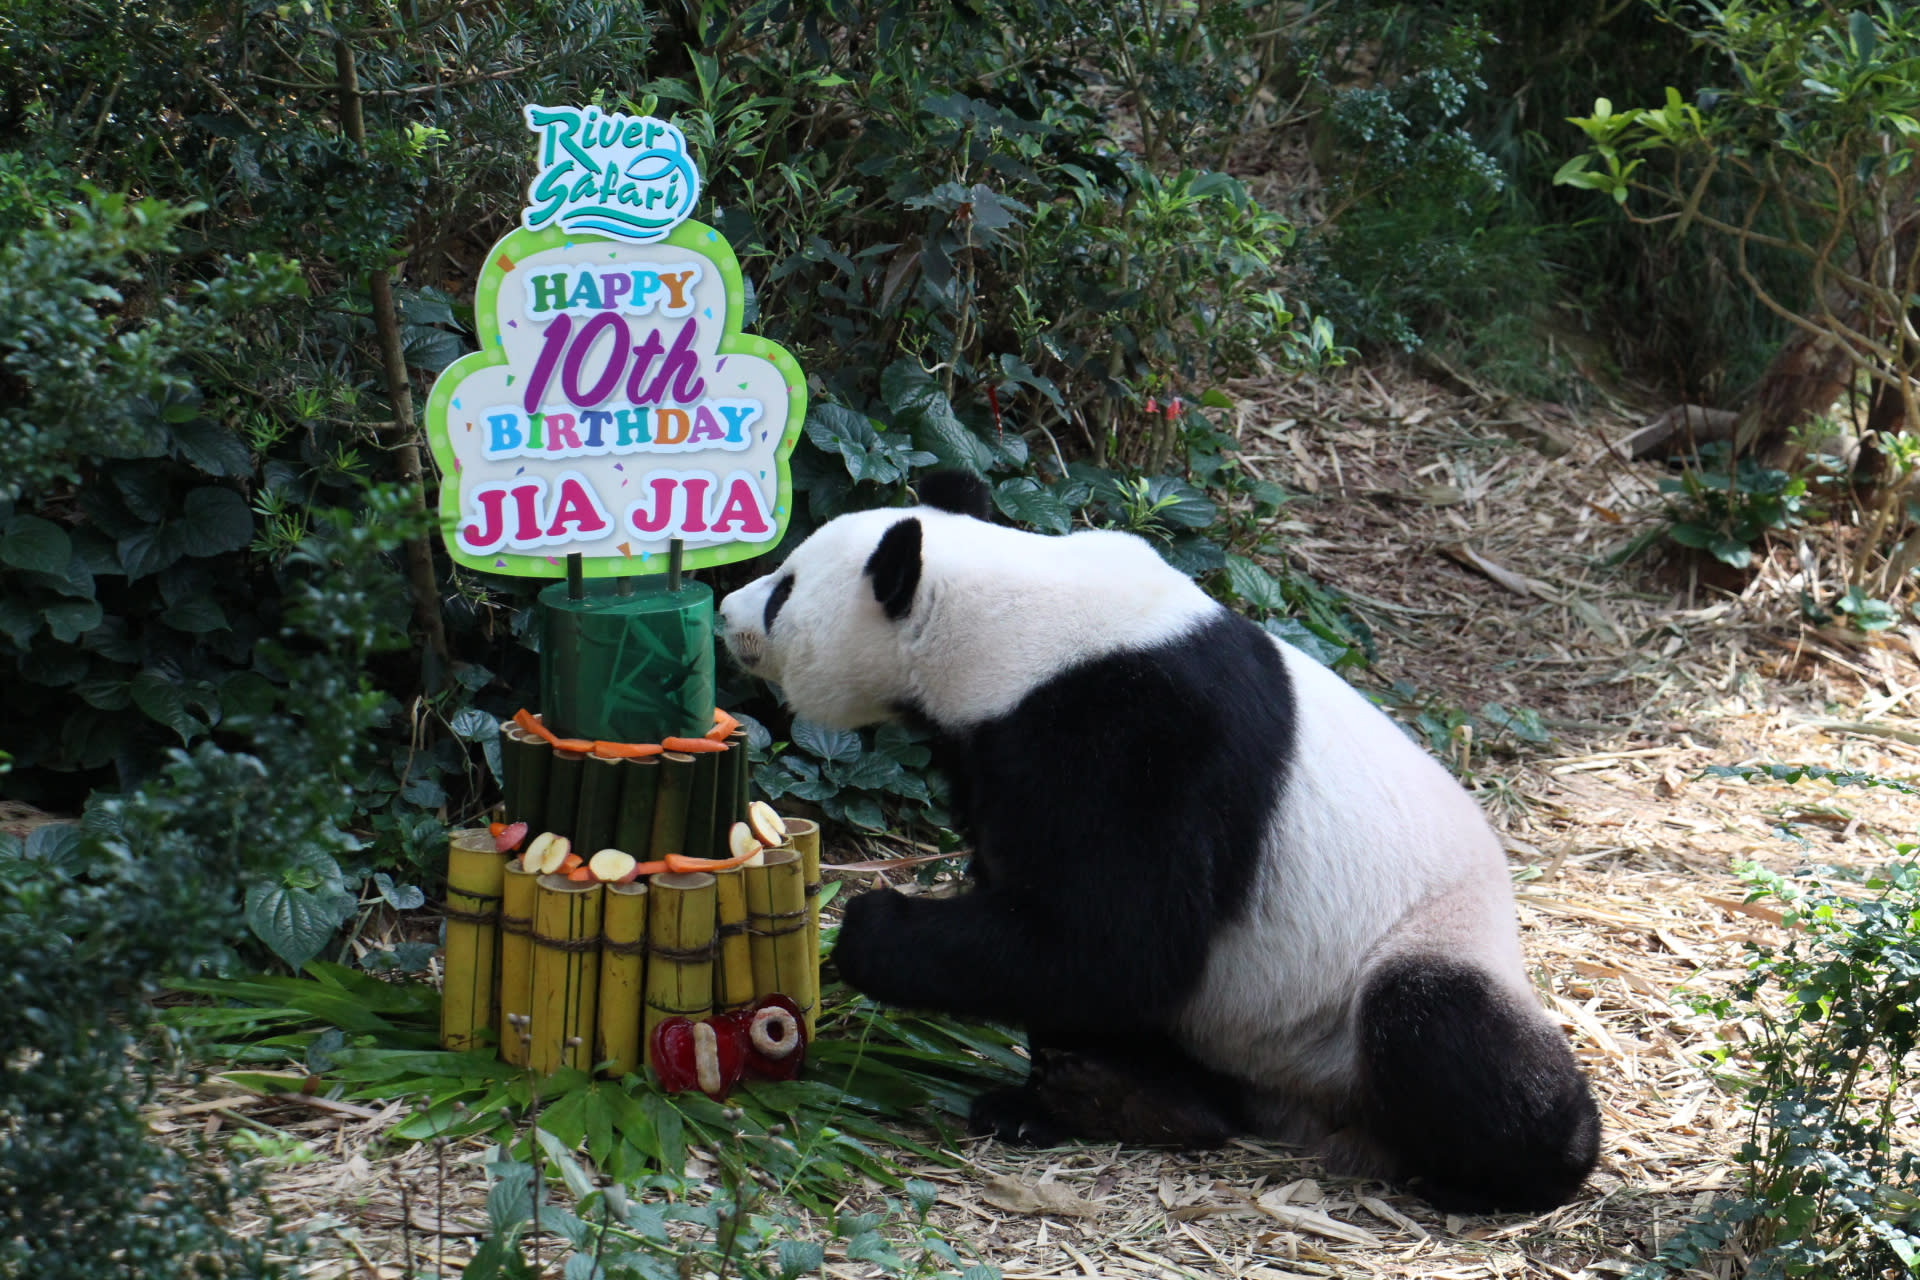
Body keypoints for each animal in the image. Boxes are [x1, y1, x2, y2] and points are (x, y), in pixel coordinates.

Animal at [714, 475, 1597, 1220]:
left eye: (785, 589)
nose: (725, 610)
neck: (1005, 619)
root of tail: (1312, 1103)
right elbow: (1049, 935)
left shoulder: (1140, 735)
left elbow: (1122, 940)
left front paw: (869, 930)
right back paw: (1128, 1098)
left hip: (1416, 949)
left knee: (1438, 1024)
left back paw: (1516, 1170)